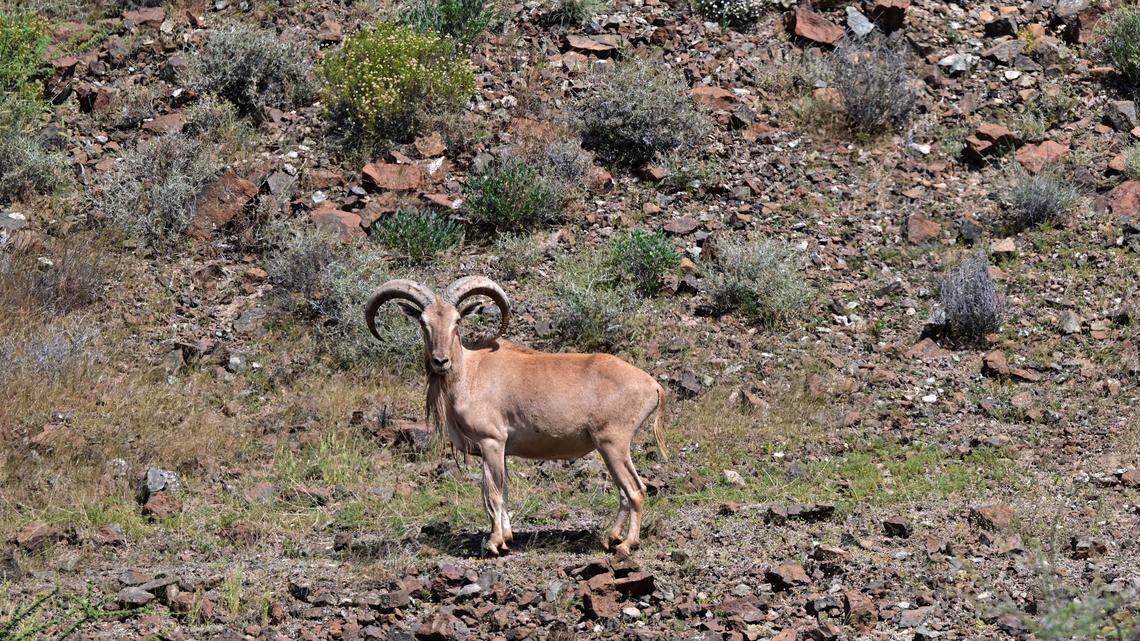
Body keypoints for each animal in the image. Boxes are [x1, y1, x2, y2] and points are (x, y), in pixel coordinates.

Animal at [365, 276, 666, 556]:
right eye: (423, 322)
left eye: (457, 321)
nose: (441, 361)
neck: (470, 374)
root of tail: (653, 386)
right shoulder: (499, 449)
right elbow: (503, 492)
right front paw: (507, 537)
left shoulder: (491, 442)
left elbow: (493, 494)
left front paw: (494, 543)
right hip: (609, 448)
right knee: (624, 493)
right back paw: (609, 537)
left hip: (613, 443)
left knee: (636, 490)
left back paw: (626, 544)